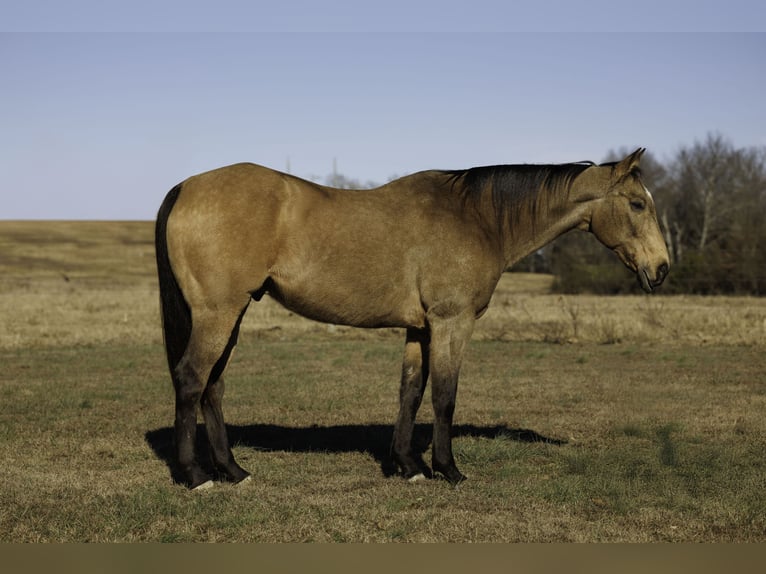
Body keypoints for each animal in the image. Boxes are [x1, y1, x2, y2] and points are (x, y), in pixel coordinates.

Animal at [155, 148, 669, 490]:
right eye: (638, 204)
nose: (661, 268)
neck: (477, 218)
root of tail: (185, 186)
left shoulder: (419, 327)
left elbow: (411, 390)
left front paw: (407, 466)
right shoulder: (451, 322)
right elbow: (444, 395)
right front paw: (448, 468)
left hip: (232, 313)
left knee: (213, 386)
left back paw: (233, 470)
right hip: (219, 314)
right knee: (192, 378)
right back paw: (196, 475)